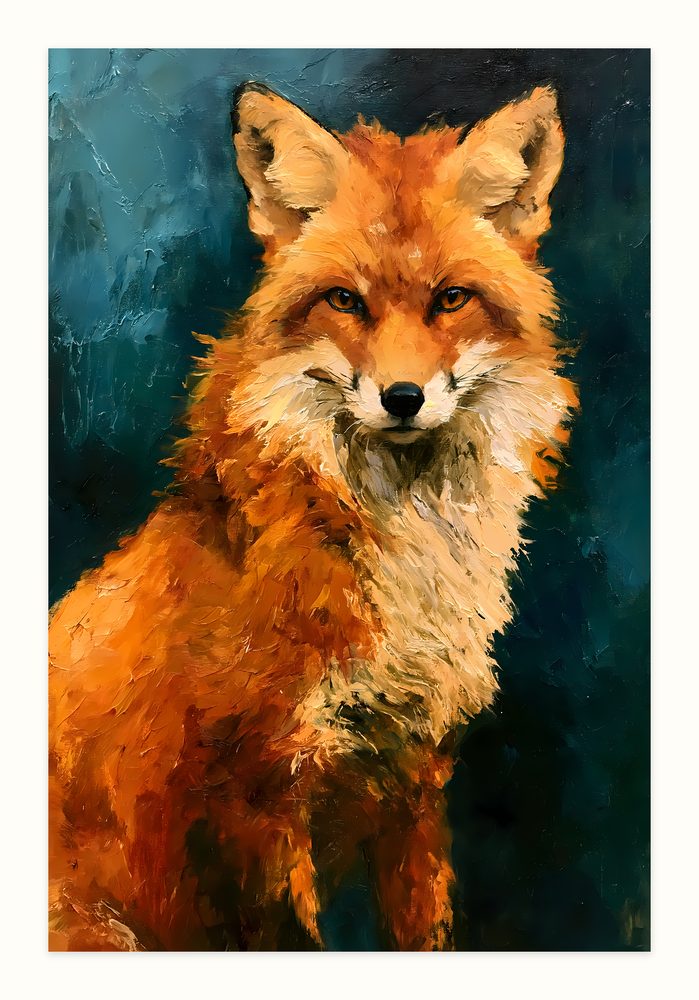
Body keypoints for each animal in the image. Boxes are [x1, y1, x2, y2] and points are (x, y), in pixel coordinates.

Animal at [49, 81, 577, 951]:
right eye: (343, 301)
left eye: (450, 300)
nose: (403, 398)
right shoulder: (252, 794)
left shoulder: (412, 772)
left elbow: (424, 933)